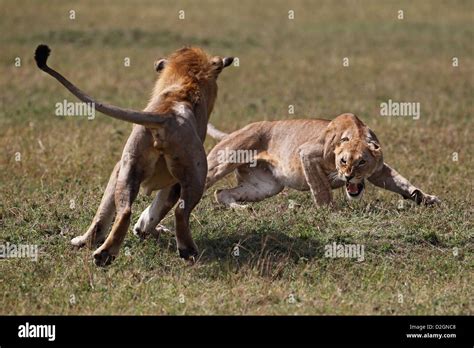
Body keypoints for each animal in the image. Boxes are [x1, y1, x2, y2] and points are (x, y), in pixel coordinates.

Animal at [34, 44, 234, 266]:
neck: (185, 84)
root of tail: (168, 115)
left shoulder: (122, 169)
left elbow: (107, 213)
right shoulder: (171, 182)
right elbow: (156, 209)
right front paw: (144, 228)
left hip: (130, 167)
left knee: (126, 211)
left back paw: (105, 254)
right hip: (190, 174)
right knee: (179, 212)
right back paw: (185, 249)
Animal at [206, 113, 442, 208]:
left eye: (362, 162)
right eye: (343, 161)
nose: (348, 176)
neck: (356, 133)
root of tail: (235, 131)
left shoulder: (379, 170)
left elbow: (401, 181)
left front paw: (425, 198)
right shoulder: (306, 153)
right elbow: (321, 188)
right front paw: (328, 209)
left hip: (265, 187)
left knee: (221, 193)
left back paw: (242, 208)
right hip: (224, 160)